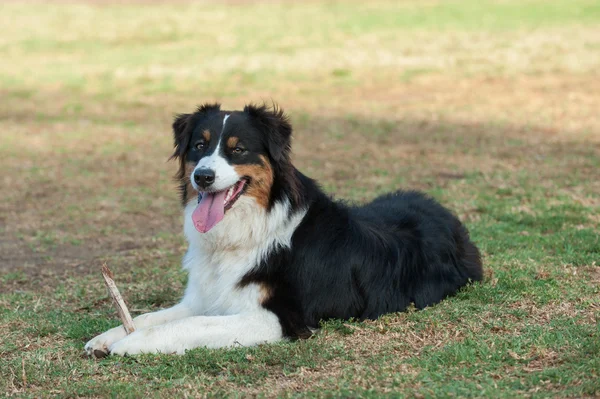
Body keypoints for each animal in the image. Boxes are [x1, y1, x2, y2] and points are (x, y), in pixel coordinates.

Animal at [83, 102, 482, 356]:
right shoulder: (204, 298)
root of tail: (445, 213)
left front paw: (131, 343)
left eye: (238, 149)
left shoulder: (281, 319)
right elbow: (153, 316)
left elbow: (189, 326)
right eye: (199, 145)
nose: (203, 176)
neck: (248, 231)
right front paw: (108, 336)